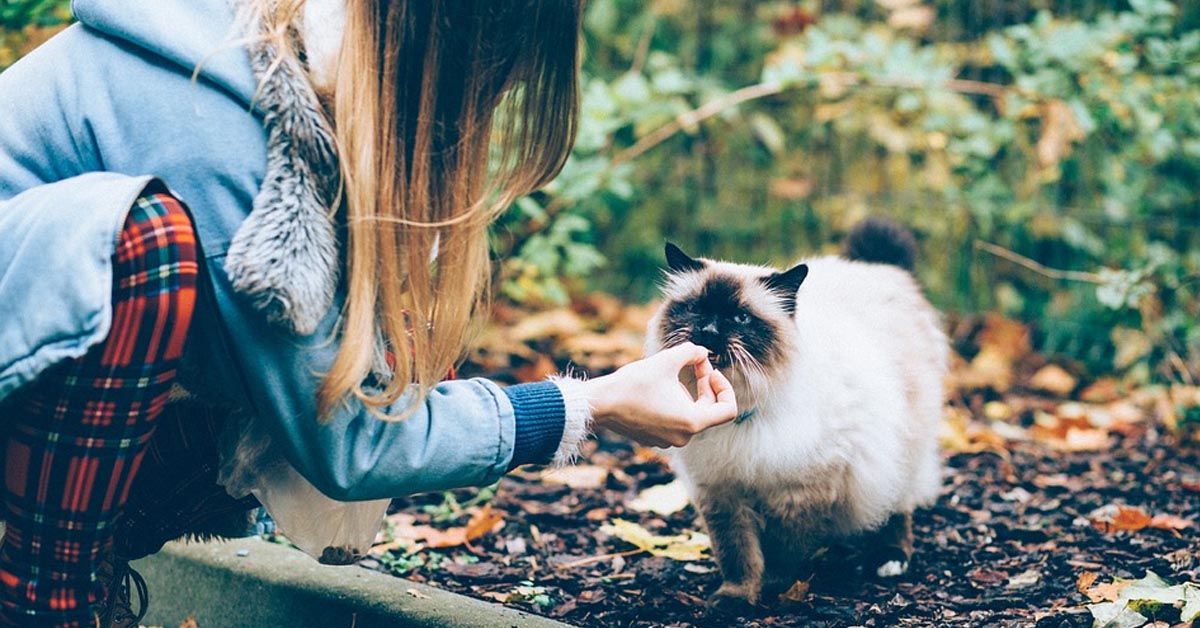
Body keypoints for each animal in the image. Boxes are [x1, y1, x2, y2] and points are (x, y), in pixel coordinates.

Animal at [648, 217, 945, 609]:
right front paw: (735, 600)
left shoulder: (797, 494)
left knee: (897, 508)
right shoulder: (722, 494)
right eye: (696, 309)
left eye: (740, 318)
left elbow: (781, 553)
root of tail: (878, 268)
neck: (741, 410)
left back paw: (889, 560)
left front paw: (774, 590)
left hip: (899, 452)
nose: (708, 332)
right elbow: (737, 556)